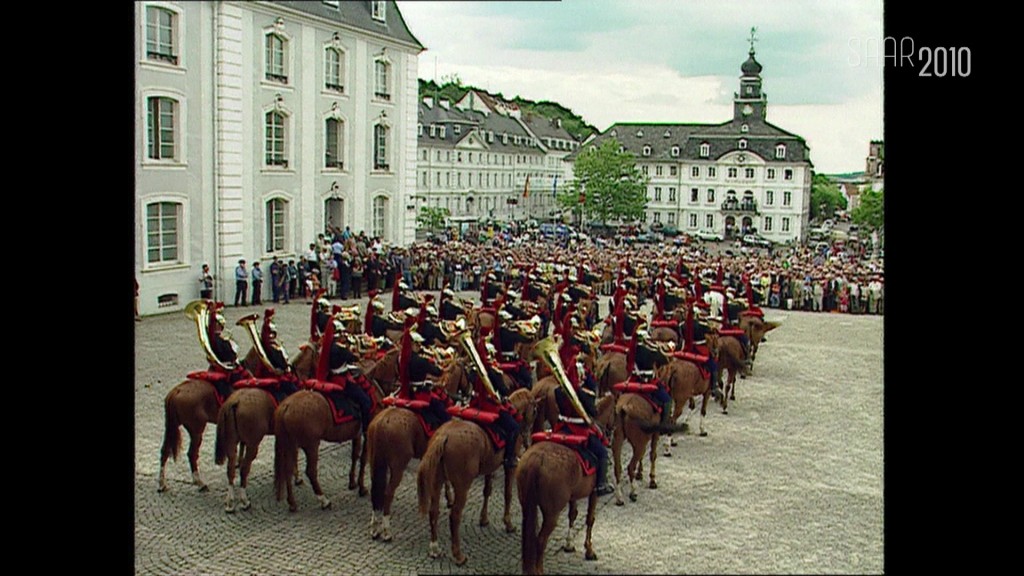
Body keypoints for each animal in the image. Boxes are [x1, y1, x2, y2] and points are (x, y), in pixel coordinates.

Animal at [158, 344, 260, 487]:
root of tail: (176, 391)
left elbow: (242, 445)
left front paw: (239, 463)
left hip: (172, 427)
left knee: (165, 451)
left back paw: (162, 484)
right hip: (196, 431)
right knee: (192, 454)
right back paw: (199, 482)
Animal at [211, 340, 315, 510]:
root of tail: (235, 401)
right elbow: (293, 457)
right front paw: (297, 477)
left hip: (231, 441)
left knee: (230, 468)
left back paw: (230, 502)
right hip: (253, 443)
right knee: (244, 468)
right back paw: (244, 500)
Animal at [270, 377, 385, 510]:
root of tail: (286, 406)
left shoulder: (357, 435)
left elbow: (355, 456)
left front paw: (352, 482)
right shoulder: (367, 435)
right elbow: (363, 459)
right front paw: (361, 488)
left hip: (290, 446)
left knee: (287, 471)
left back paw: (292, 503)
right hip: (311, 446)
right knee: (310, 472)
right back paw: (324, 500)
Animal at [415, 387, 536, 561]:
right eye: (535, 410)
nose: (528, 440)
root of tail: (444, 436)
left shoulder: (490, 467)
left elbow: (487, 491)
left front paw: (484, 519)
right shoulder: (509, 467)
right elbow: (508, 494)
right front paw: (508, 523)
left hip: (437, 481)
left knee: (433, 511)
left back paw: (435, 548)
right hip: (462, 486)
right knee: (454, 515)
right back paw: (458, 555)